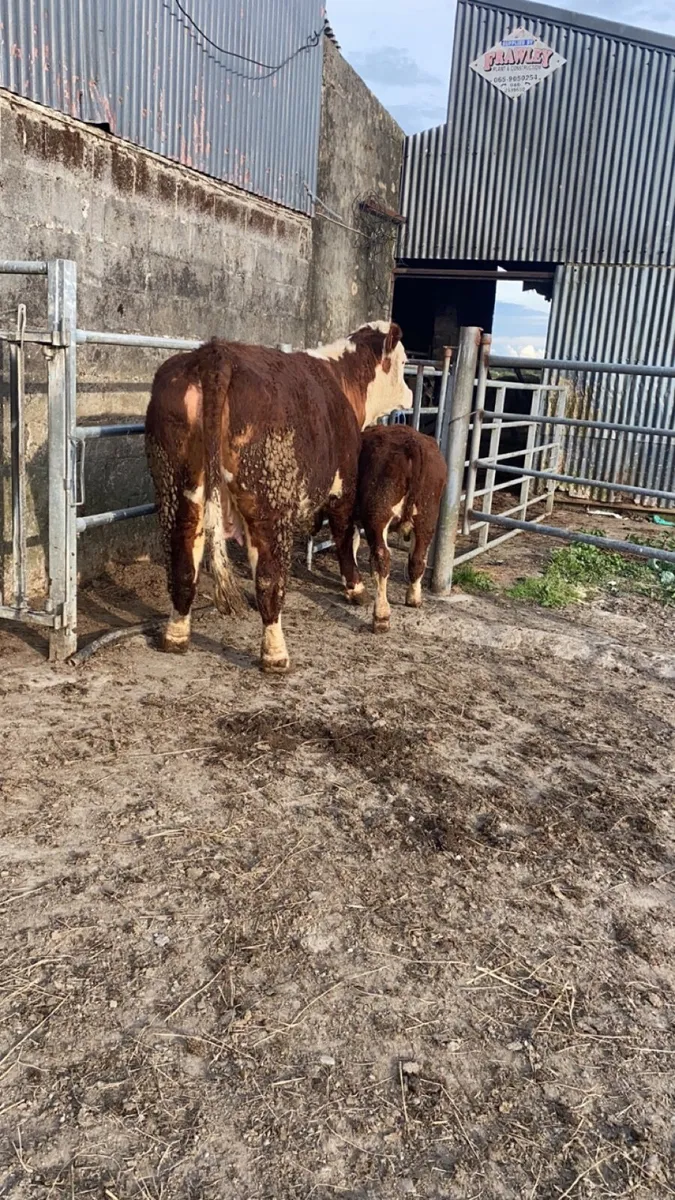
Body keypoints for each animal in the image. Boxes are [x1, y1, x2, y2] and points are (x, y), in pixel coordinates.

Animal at [145, 321, 411, 672]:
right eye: (404, 362)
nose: (410, 395)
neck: (342, 378)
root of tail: (215, 354)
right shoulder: (343, 486)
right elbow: (344, 536)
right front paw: (355, 589)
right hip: (268, 500)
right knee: (269, 579)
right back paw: (275, 654)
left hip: (177, 491)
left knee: (183, 564)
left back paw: (176, 635)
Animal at [353, 424, 447, 633]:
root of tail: (412, 443)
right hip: (427, 518)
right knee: (417, 559)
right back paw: (414, 599)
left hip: (378, 514)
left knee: (382, 558)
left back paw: (381, 616)